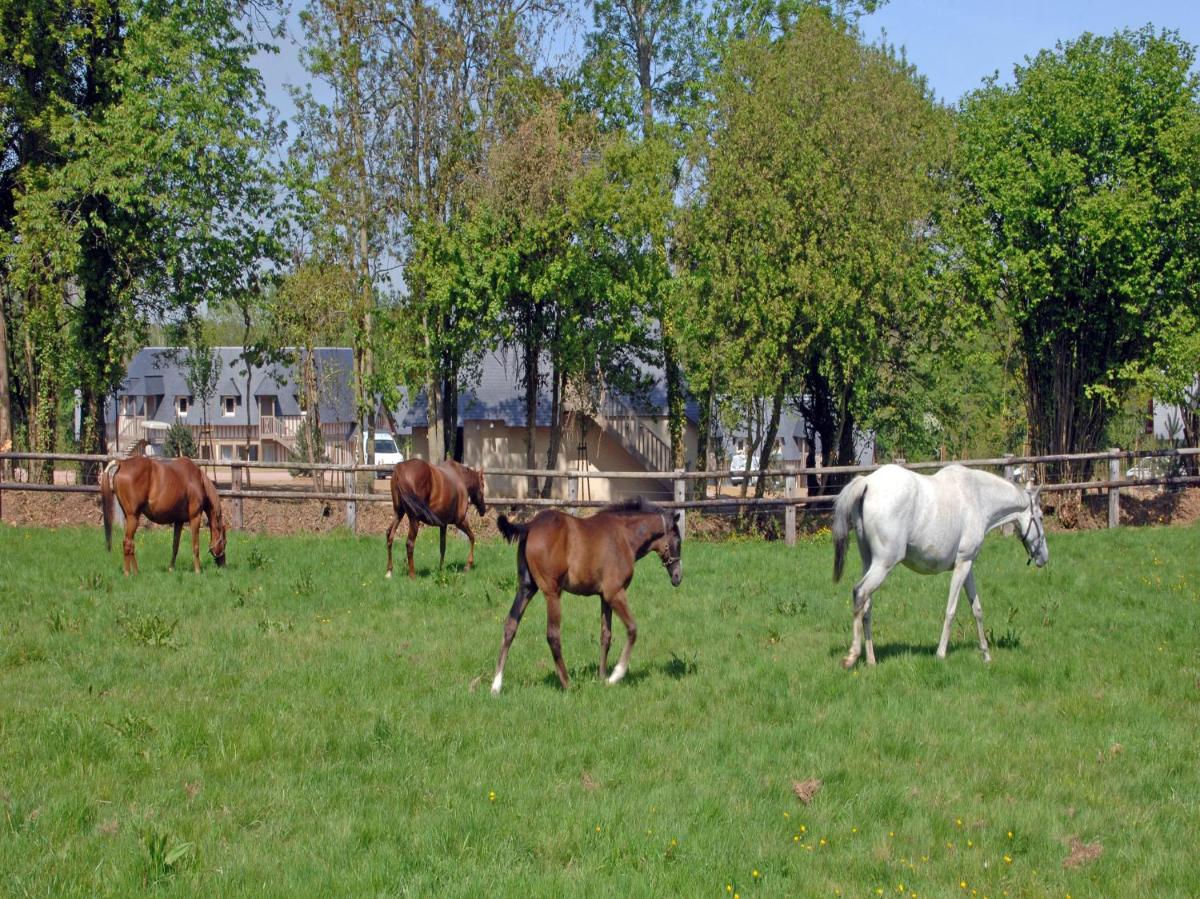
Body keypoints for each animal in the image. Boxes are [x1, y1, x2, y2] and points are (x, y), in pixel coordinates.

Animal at [484, 496, 676, 696]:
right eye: (677, 537)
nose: (677, 576)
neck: (623, 536)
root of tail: (530, 525)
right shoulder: (615, 593)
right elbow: (632, 628)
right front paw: (615, 675)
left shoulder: (604, 597)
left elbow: (605, 635)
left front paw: (601, 677)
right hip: (552, 593)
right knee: (552, 634)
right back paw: (567, 683)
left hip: (526, 588)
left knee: (510, 626)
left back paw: (496, 685)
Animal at [830, 463, 1046, 667]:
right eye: (1041, 517)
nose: (1044, 557)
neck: (978, 497)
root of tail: (867, 482)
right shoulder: (962, 566)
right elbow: (951, 610)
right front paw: (941, 654)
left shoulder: (967, 566)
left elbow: (977, 609)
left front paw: (986, 655)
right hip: (884, 564)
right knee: (859, 593)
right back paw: (852, 656)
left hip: (869, 563)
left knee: (867, 607)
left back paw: (871, 660)